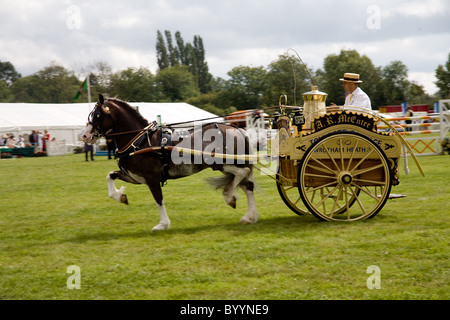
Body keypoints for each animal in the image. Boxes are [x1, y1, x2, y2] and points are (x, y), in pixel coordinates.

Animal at [80, 94, 256, 231]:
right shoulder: (135, 177)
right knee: (247, 185)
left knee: (243, 174)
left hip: (222, 163)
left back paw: (229, 196)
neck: (139, 141)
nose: (84, 136)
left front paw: (163, 224)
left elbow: (158, 199)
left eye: (97, 115)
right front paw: (120, 196)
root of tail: (237, 128)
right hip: (227, 166)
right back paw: (250, 216)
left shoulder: (151, 178)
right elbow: (110, 176)